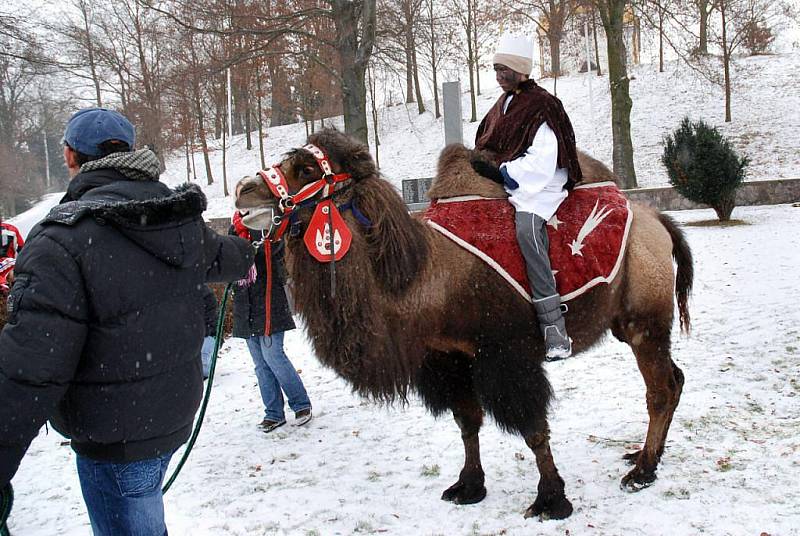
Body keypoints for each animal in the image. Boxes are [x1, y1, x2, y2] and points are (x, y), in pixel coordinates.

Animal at [234, 130, 692, 520]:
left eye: (308, 169)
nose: (243, 191)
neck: (425, 277)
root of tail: (658, 220)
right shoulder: (447, 357)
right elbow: (467, 422)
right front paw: (468, 487)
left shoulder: (506, 354)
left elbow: (533, 429)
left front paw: (551, 500)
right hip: (630, 324)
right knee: (675, 378)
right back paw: (644, 458)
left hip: (645, 322)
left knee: (659, 389)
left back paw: (642, 471)